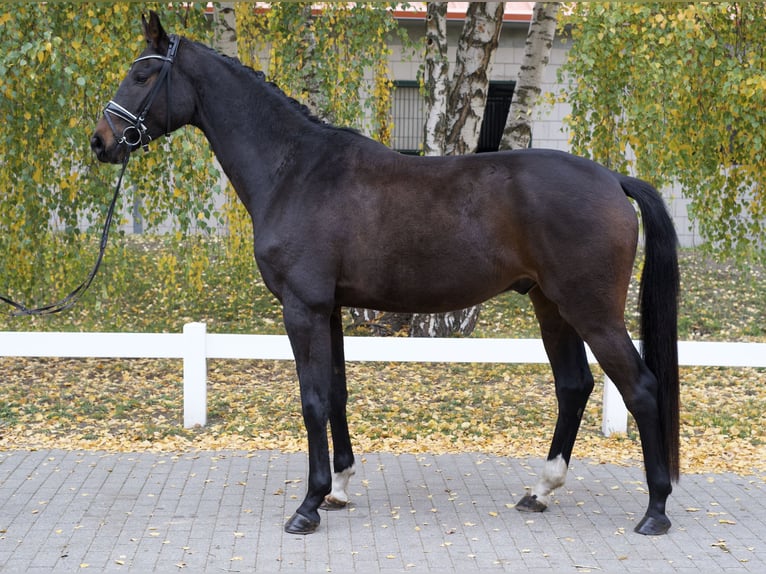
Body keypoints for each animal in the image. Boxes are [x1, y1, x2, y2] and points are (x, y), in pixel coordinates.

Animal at [93, 11, 680, 536]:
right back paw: (540, 490)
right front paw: (338, 489)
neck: (296, 170)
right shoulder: (328, 309)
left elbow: (311, 399)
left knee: (640, 387)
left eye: (142, 75)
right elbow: (335, 393)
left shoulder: (302, 308)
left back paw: (655, 511)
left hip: (590, 311)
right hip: (550, 305)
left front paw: (307, 506)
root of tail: (613, 179)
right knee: (574, 385)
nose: (101, 141)